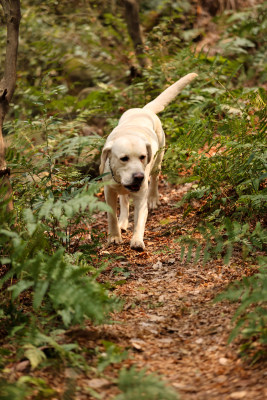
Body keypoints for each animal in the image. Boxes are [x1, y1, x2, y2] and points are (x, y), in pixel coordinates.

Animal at [99, 72, 198, 250]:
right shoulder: (109, 191)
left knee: (155, 179)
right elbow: (112, 216)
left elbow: (140, 219)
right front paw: (114, 236)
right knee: (124, 201)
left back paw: (153, 199)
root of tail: (144, 110)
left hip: (158, 161)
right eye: (123, 158)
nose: (139, 176)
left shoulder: (140, 197)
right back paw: (123, 221)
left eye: (142, 156)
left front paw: (137, 240)